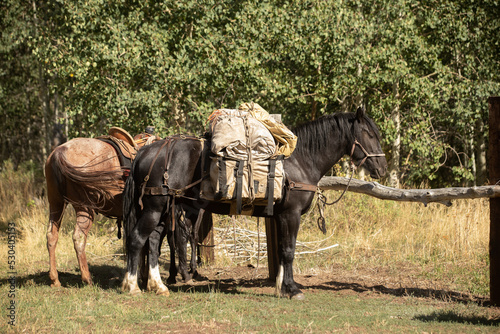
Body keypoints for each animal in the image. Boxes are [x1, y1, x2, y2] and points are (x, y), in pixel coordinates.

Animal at [121, 107, 386, 298]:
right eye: (369, 134)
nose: (382, 168)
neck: (299, 161)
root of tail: (146, 152)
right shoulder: (291, 214)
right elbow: (288, 251)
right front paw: (292, 289)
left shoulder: (280, 216)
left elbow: (281, 251)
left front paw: (281, 286)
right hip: (155, 209)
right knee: (137, 240)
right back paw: (132, 286)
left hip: (163, 210)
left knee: (153, 242)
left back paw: (158, 286)